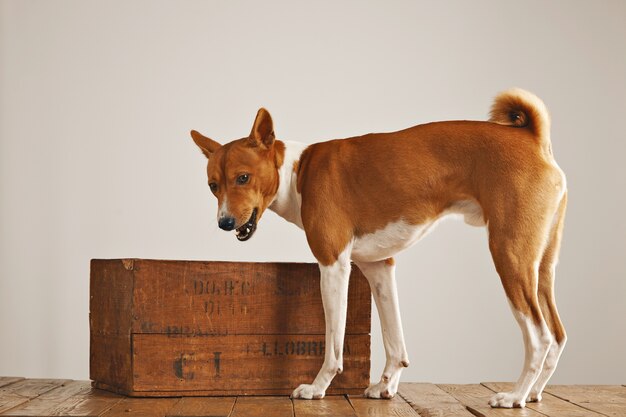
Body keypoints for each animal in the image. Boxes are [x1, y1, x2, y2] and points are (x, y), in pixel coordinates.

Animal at [189, 88, 564, 406]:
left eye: (243, 178)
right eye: (212, 185)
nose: (224, 222)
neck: (298, 173)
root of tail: (532, 138)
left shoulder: (333, 265)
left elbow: (334, 344)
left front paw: (317, 387)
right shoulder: (379, 266)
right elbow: (394, 340)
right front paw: (386, 386)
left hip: (509, 257)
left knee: (540, 337)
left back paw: (514, 396)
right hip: (541, 268)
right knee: (558, 335)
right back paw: (535, 393)